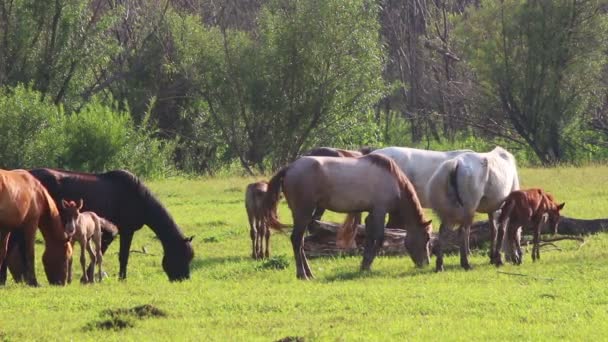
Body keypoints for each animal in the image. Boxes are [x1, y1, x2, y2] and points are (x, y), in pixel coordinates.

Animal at [5, 167, 194, 282]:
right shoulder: (126, 230)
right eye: (181, 256)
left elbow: (98, 252)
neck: (138, 198)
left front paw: (87, 277)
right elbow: (122, 256)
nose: (184, 278)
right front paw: (120, 278)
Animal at [262, 155, 432, 280]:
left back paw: (308, 273)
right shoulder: (379, 211)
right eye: (426, 238)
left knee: (300, 242)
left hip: (300, 215)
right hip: (304, 212)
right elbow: (378, 238)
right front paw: (366, 265)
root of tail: (290, 167)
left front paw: (364, 265)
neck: (394, 180)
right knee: (296, 240)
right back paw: (302, 274)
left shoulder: (371, 214)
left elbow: (370, 239)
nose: (425, 263)